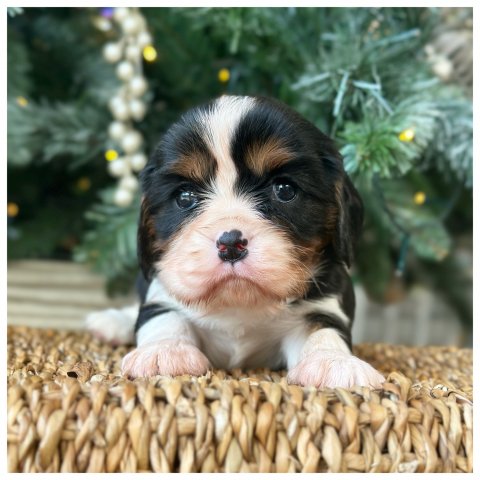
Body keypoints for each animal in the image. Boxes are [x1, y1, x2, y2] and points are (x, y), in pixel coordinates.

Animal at [87, 94, 386, 390]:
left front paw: (334, 362)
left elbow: (322, 329)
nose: (231, 243)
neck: (238, 304)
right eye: (185, 197)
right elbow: (165, 317)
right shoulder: (160, 290)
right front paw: (164, 352)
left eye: (284, 190)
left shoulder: (323, 303)